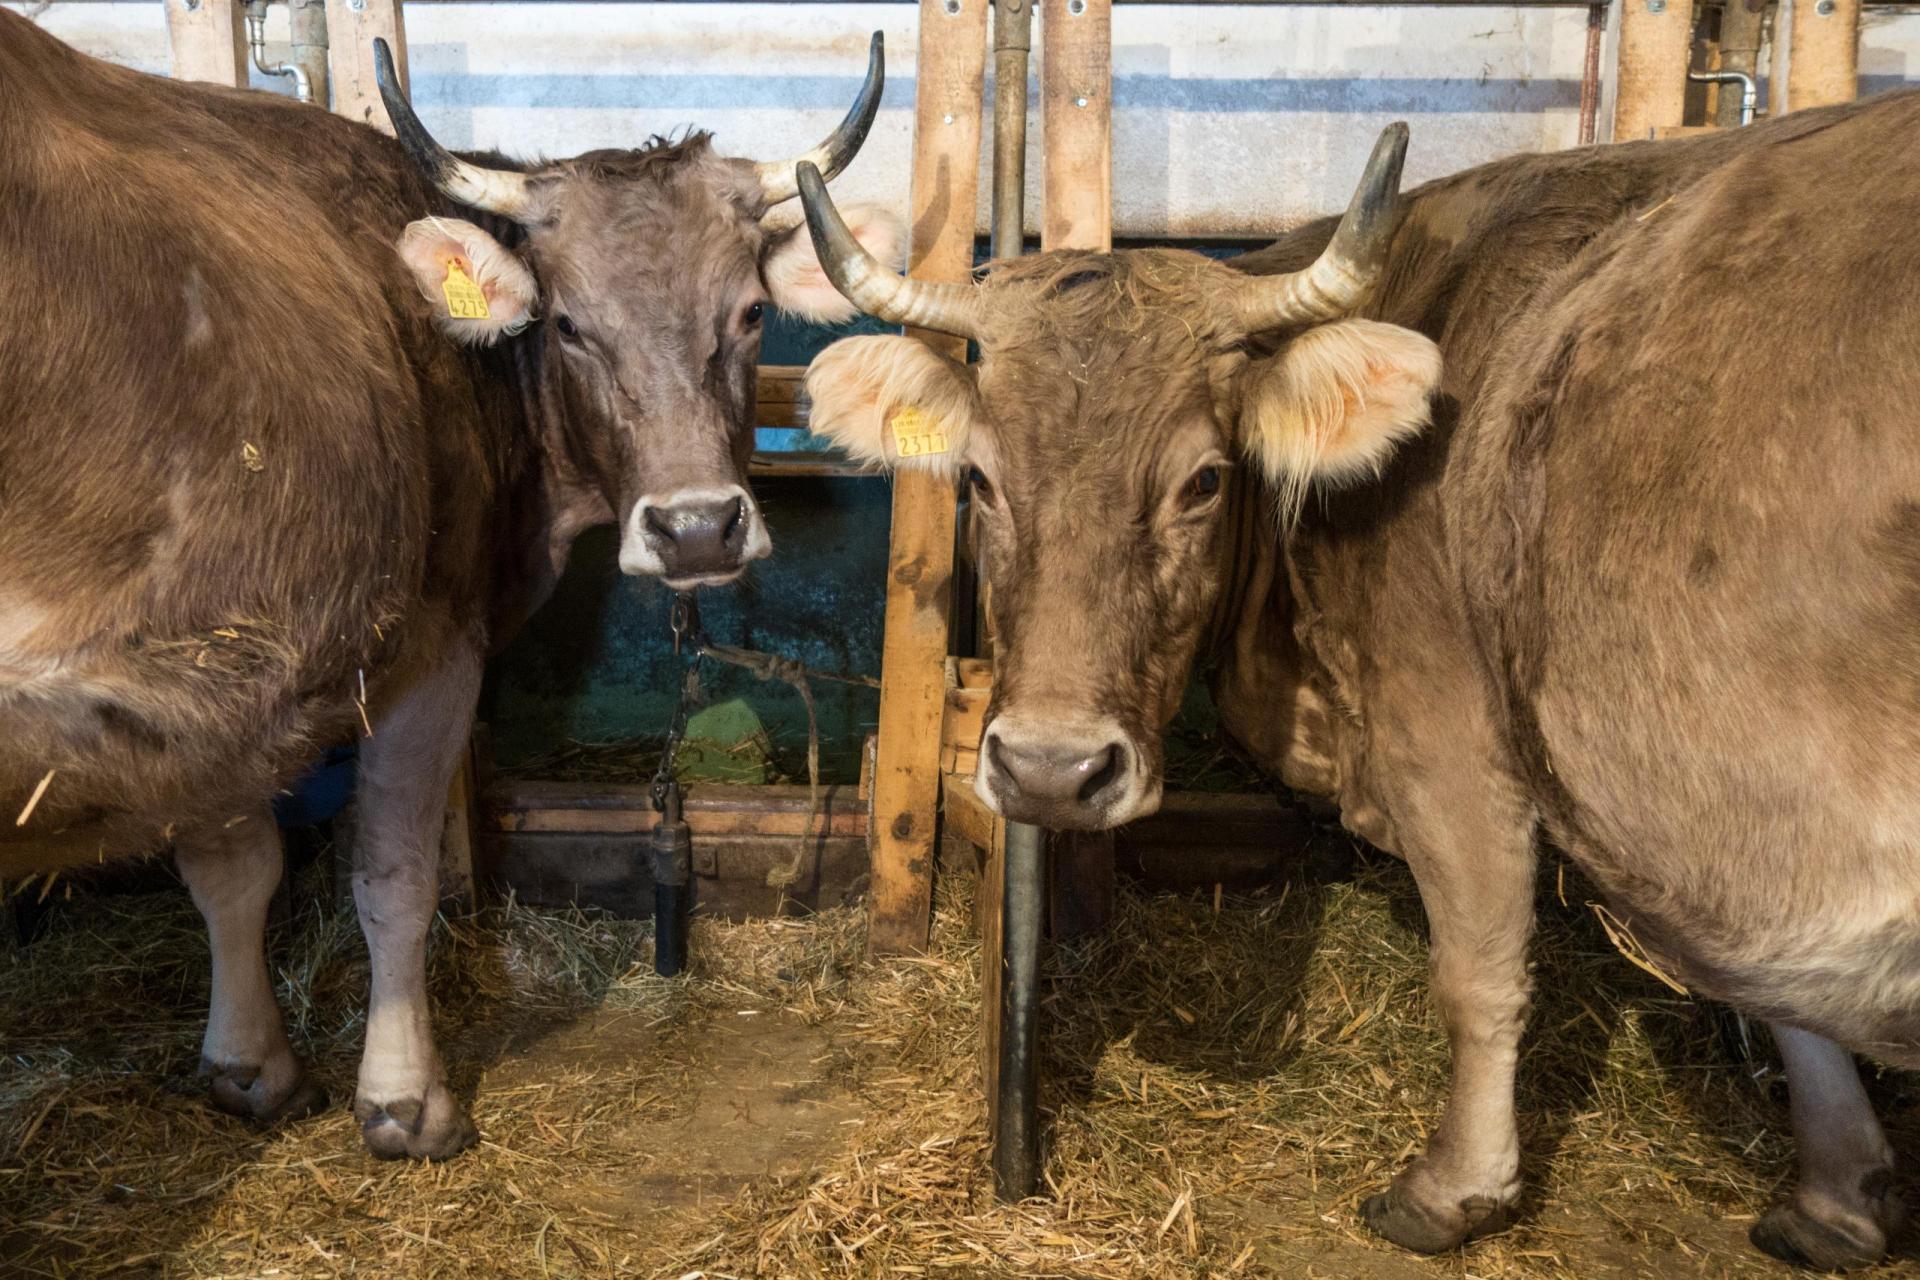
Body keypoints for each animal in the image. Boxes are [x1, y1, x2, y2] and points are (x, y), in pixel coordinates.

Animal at [0, 12, 898, 1159]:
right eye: (566, 323)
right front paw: (403, 1101)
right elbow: (392, 873)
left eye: (746, 313)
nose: (698, 526)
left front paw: (250, 1063)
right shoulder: (425, 646)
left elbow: (233, 863)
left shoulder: (224, 668)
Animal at [798, 92, 1920, 1274]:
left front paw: (1452, 1189)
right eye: (976, 476)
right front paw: (1837, 1195)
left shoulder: (1449, 740)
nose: (1053, 770)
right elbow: (1777, 986)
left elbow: (1479, 969)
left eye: (1205, 479)